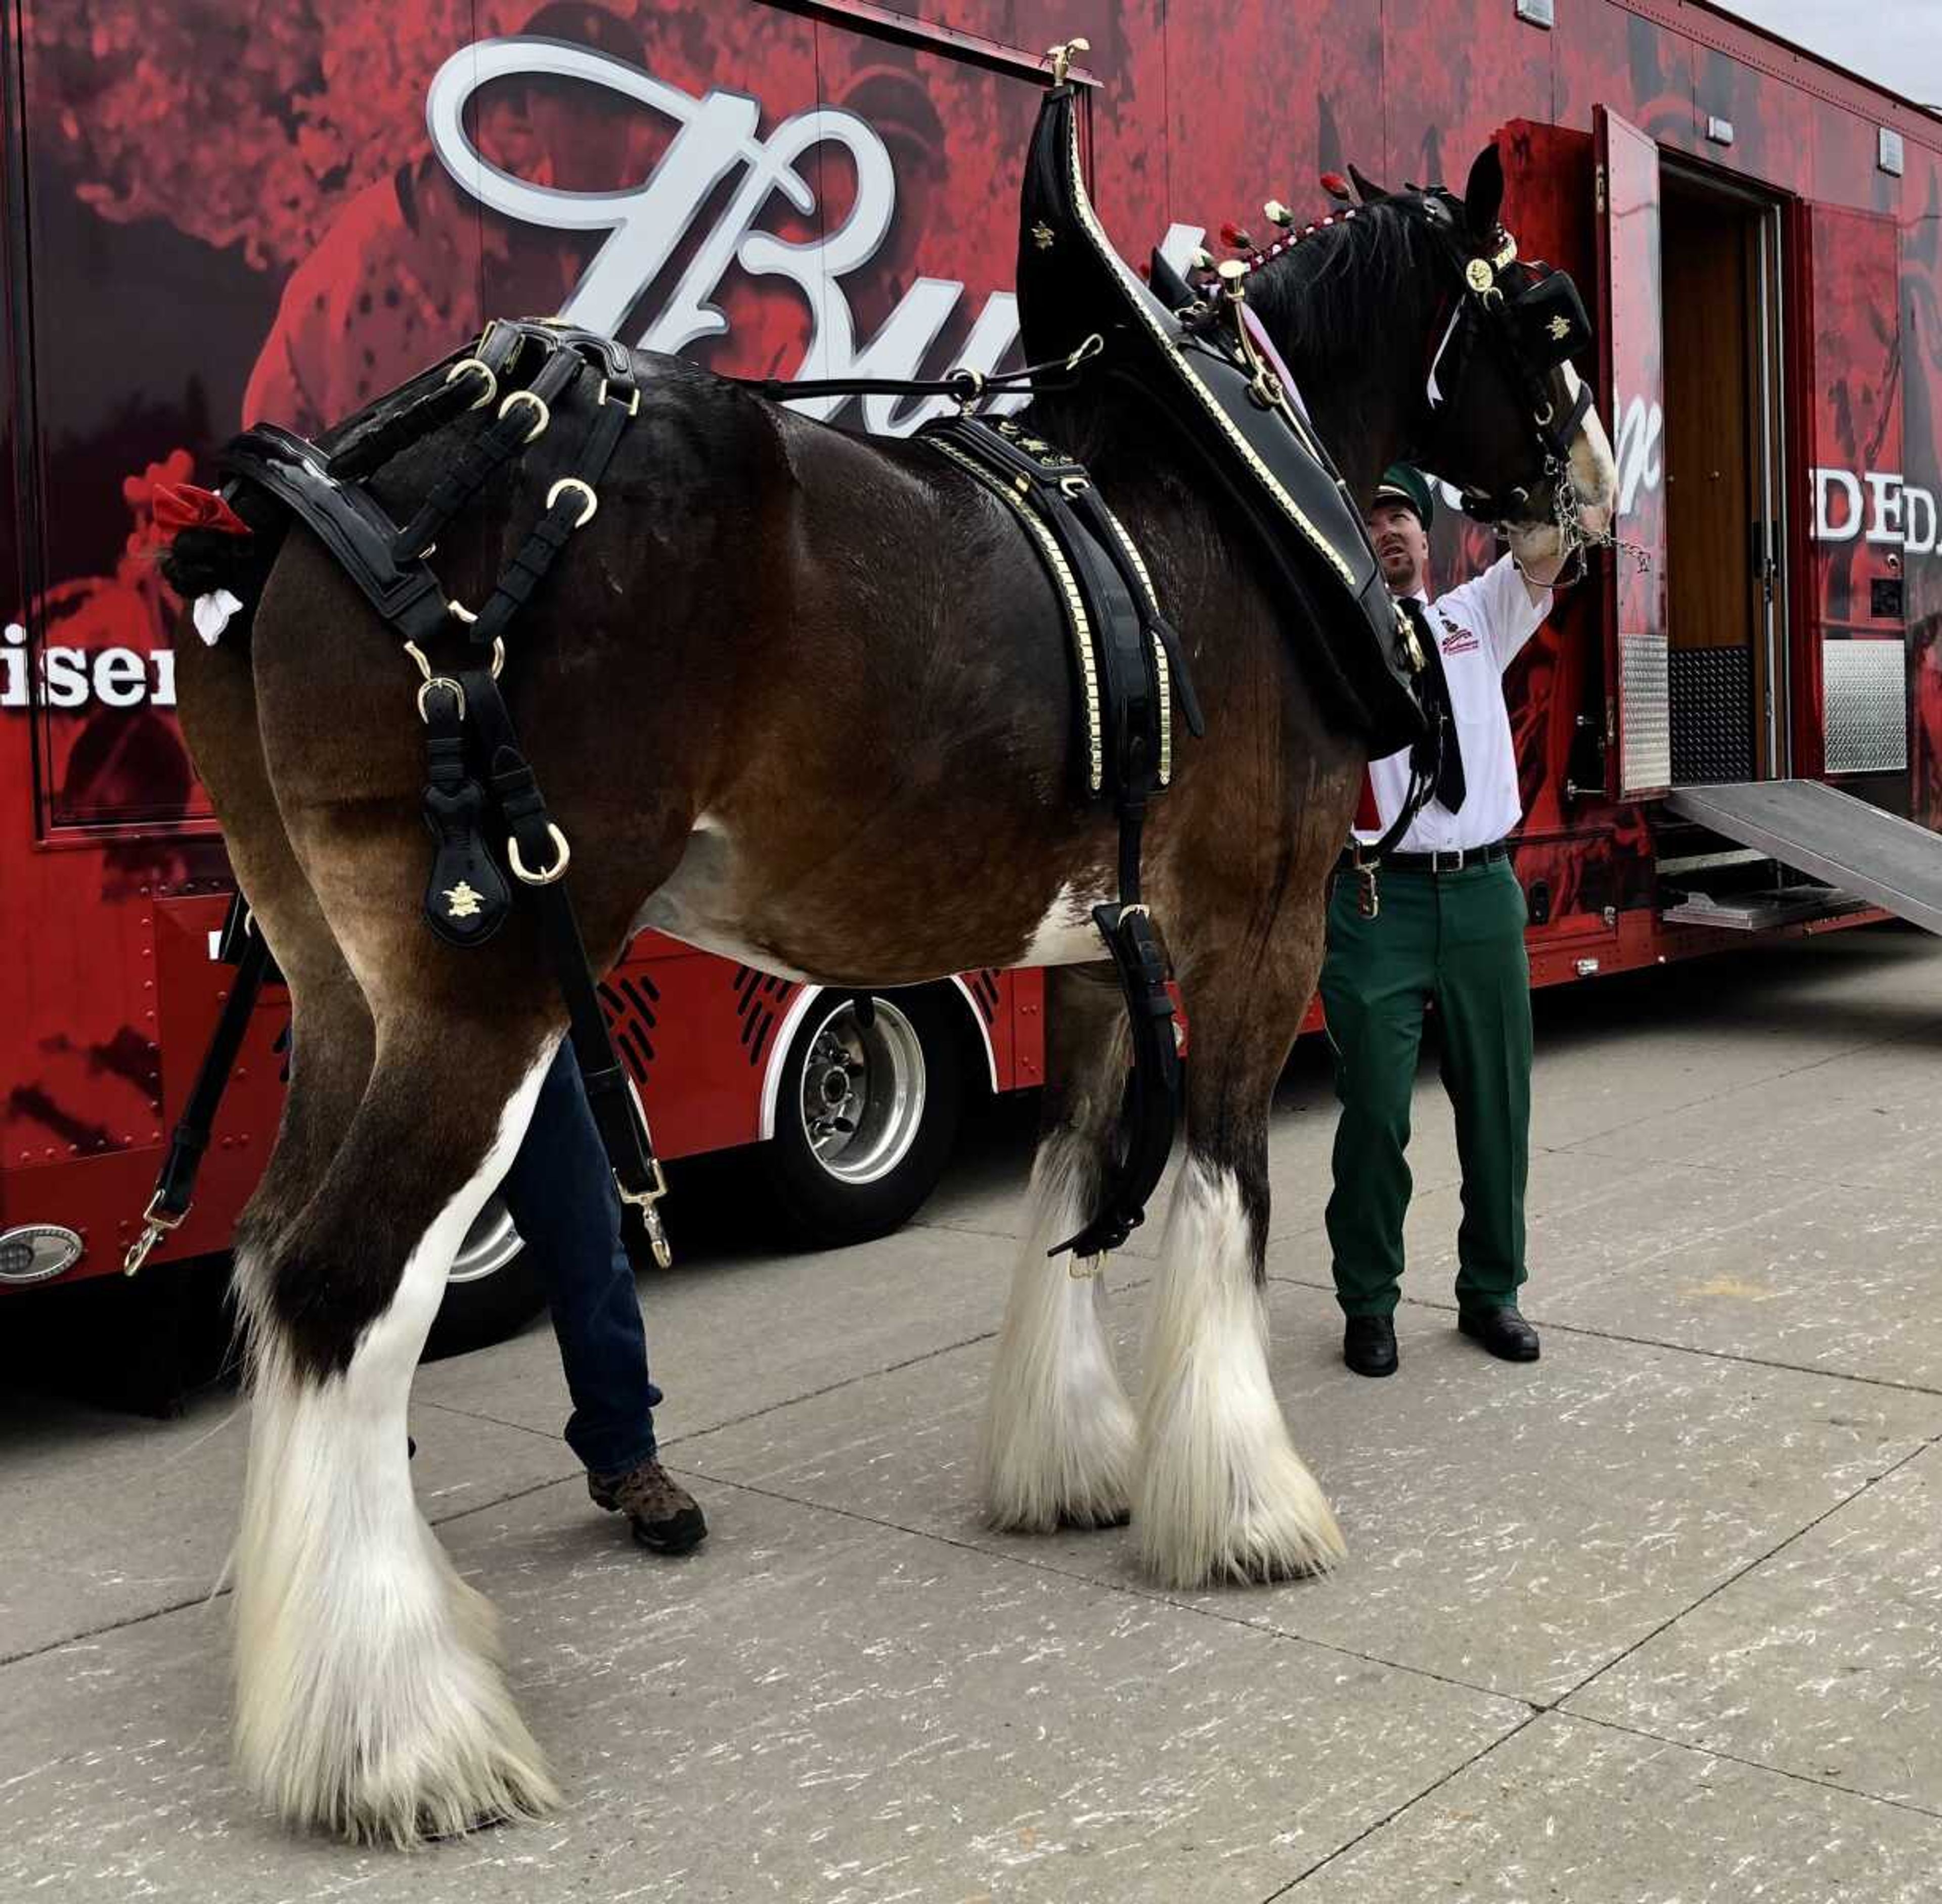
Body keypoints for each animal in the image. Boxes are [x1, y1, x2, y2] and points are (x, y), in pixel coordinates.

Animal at [167, 145, 1615, 1842]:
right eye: (1548, 319)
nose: (1596, 500)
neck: (1229, 496)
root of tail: (328, 501)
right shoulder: (1255, 929)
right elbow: (1222, 1189)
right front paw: (1244, 1504)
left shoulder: (1098, 944)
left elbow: (1075, 1180)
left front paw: (1073, 1464)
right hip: (483, 997)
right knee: (347, 1290)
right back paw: (397, 1735)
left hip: (342, 994)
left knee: (271, 1260)